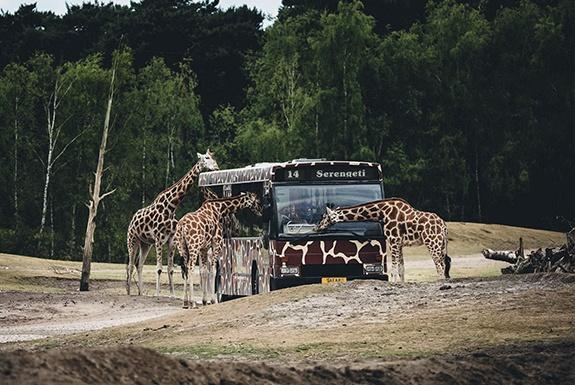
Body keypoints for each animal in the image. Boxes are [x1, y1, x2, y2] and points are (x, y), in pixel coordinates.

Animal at [127, 148, 219, 296]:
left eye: (213, 158)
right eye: (206, 158)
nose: (216, 167)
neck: (170, 206)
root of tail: (132, 219)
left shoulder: (170, 239)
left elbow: (170, 268)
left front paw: (172, 294)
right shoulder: (159, 239)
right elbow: (159, 268)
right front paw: (158, 294)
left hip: (146, 243)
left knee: (139, 264)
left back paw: (141, 292)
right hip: (132, 239)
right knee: (130, 264)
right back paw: (129, 291)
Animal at [318, 198, 452, 282]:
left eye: (324, 217)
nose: (318, 227)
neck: (382, 212)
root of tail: (444, 226)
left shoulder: (393, 240)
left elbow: (393, 269)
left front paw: (393, 283)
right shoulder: (399, 243)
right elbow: (401, 269)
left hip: (432, 243)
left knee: (440, 266)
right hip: (440, 244)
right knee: (444, 264)